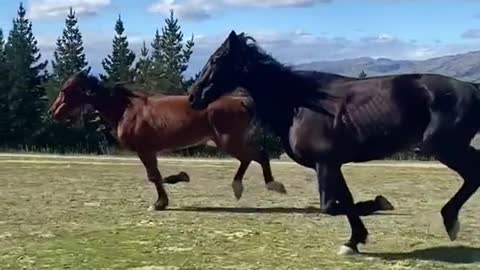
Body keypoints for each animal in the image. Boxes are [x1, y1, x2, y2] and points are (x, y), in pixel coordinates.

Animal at [48, 71, 286, 211]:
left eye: (65, 91)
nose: (53, 112)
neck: (126, 110)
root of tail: (241, 101)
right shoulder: (150, 151)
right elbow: (157, 176)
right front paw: (178, 179)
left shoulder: (145, 150)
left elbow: (154, 176)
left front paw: (162, 200)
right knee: (249, 158)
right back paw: (239, 187)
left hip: (229, 141)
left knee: (258, 155)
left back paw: (272, 185)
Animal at [188, 31, 480, 255]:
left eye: (217, 59)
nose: (193, 97)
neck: (300, 104)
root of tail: (472, 87)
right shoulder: (332, 164)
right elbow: (344, 201)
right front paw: (354, 240)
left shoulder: (325, 163)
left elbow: (331, 206)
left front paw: (379, 204)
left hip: (444, 147)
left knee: (473, 175)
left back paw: (450, 221)